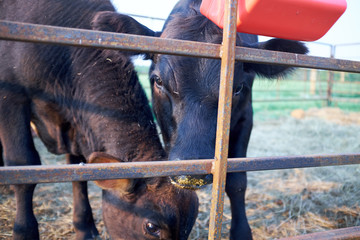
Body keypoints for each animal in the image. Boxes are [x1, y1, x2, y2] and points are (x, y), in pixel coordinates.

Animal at [0, 0, 200, 239]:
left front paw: (84, 226)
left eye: (188, 228)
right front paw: (24, 231)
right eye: (152, 227)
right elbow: (23, 165)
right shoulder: (11, 96)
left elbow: (78, 170)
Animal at [146, 0, 306, 240]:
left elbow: (237, 182)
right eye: (158, 81)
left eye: (237, 88)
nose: (190, 173)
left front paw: (241, 232)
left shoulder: (246, 118)